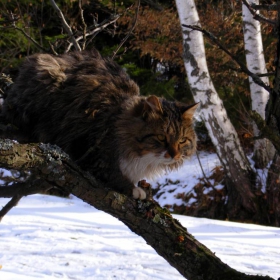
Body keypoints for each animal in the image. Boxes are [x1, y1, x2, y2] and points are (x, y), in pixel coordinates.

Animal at [3, 49, 198, 199]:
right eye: (161, 137)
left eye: (182, 140)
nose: (174, 155)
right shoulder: (88, 148)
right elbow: (112, 172)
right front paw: (133, 188)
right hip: (44, 76)